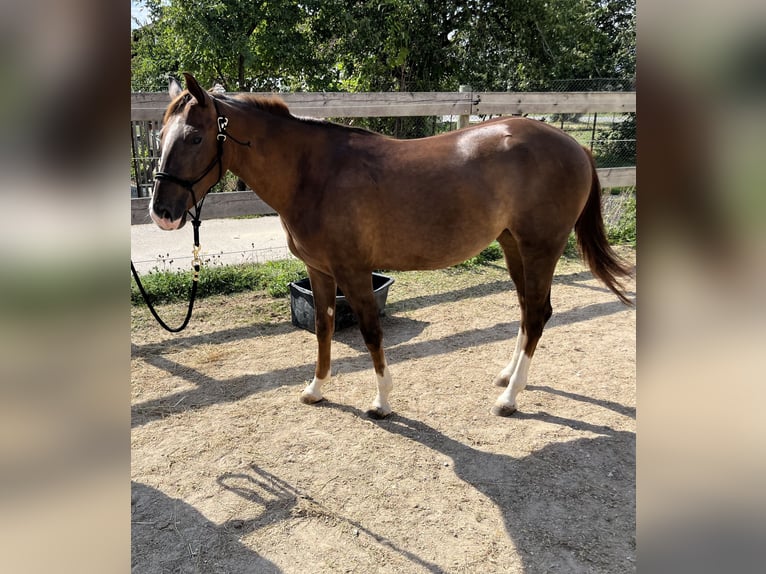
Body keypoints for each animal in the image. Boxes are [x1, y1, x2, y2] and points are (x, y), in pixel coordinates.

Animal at [152, 74, 636, 420]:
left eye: (195, 137)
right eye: (160, 136)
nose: (162, 212)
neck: (314, 173)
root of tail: (575, 146)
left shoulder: (353, 272)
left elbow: (371, 332)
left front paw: (382, 402)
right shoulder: (319, 272)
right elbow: (324, 329)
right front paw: (316, 389)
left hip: (540, 248)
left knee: (537, 314)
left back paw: (511, 399)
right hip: (514, 246)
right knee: (526, 311)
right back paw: (507, 378)